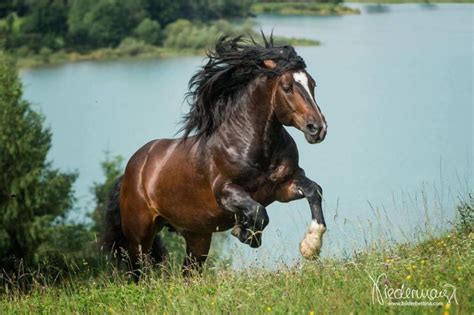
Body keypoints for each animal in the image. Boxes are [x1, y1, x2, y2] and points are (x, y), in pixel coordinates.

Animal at [102, 34, 328, 280]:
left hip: (197, 237)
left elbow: (314, 190)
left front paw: (310, 246)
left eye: (313, 84)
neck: (252, 145)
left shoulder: (283, 186)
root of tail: (129, 173)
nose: (318, 128)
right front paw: (245, 232)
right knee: (137, 271)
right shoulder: (225, 192)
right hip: (140, 235)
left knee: (188, 272)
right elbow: (259, 213)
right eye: (287, 87)